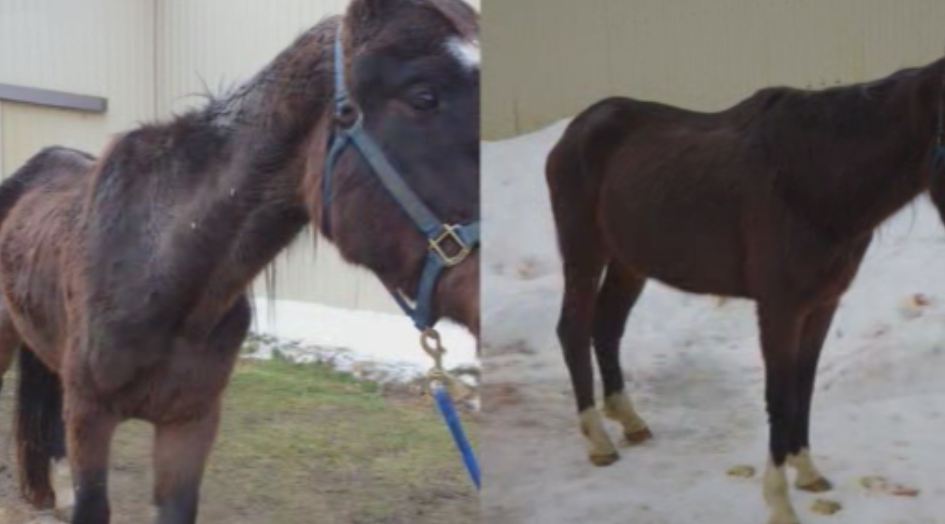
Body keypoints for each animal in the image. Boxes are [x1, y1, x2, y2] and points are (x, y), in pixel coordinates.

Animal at [546, 56, 945, 524]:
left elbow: (803, 386)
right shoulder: (779, 309)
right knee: (573, 330)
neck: (811, 177)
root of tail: (576, 129)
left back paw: (630, 421)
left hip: (629, 263)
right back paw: (598, 441)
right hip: (584, 254)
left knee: (607, 328)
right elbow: (779, 395)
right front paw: (779, 501)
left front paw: (807, 472)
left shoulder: (821, 306)